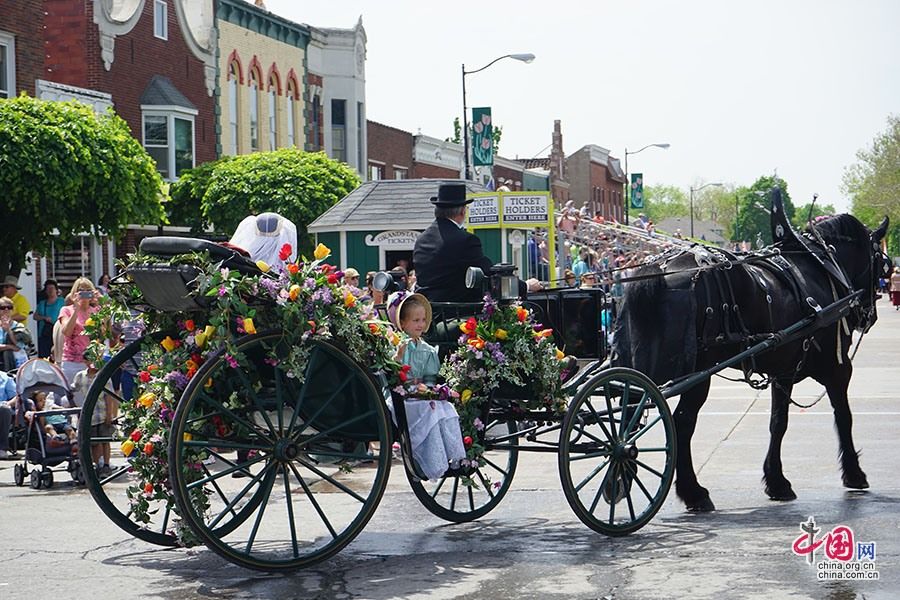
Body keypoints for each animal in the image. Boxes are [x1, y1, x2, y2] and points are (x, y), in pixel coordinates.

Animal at [612, 195, 884, 512]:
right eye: (881, 262)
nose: (869, 315)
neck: (821, 267)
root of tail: (657, 270)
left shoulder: (784, 371)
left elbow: (778, 422)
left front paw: (776, 481)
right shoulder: (837, 367)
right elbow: (843, 416)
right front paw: (854, 473)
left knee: (630, 416)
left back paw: (621, 478)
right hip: (697, 373)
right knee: (680, 422)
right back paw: (693, 492)